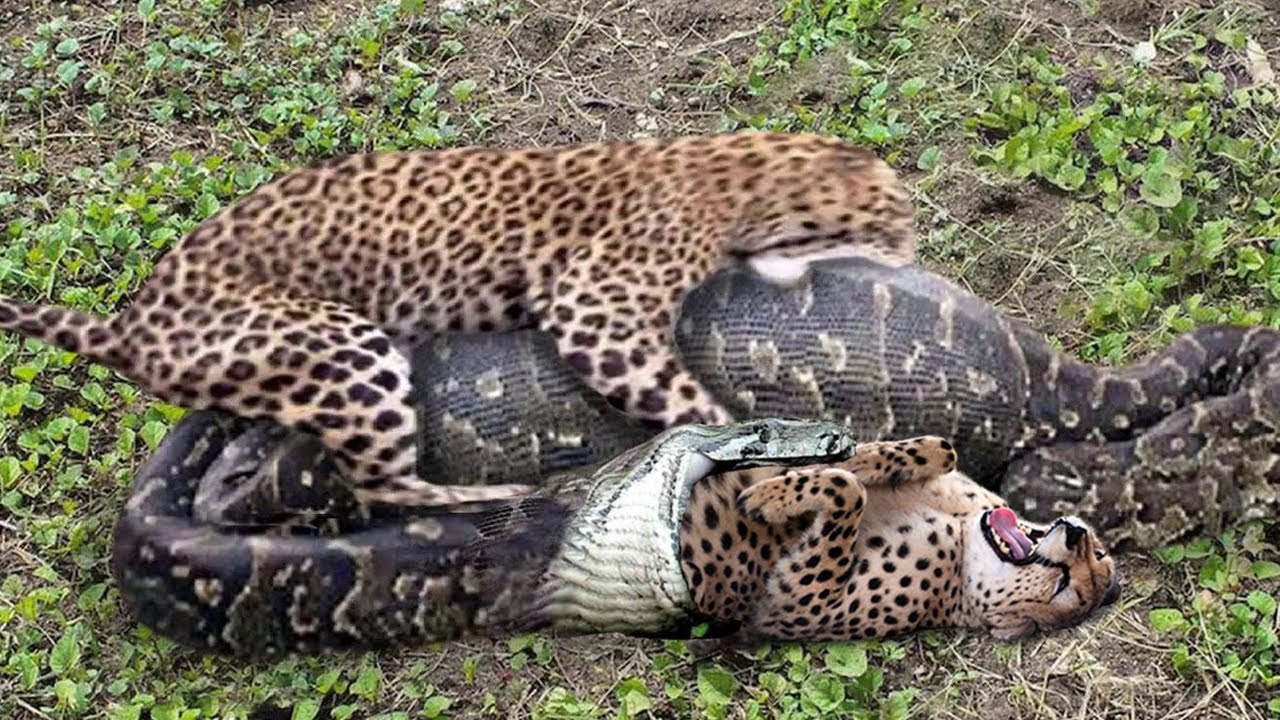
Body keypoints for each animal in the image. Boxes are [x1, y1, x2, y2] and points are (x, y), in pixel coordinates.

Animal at [0, 132, 915, 507]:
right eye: (895, 218)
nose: (913, 250)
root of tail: (127, 324)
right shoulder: (594, 307)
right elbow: (690, 404)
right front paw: (761, 442)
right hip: (344, 348)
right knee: (378, 486)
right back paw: (496, 494)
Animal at [680, 436, 1121, 647]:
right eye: (1099, 553)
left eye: (1062, 586)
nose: (1077, 532)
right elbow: (942, 448)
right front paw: (850, 458)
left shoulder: (795, 604)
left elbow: (848, 490)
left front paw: (770, 499)